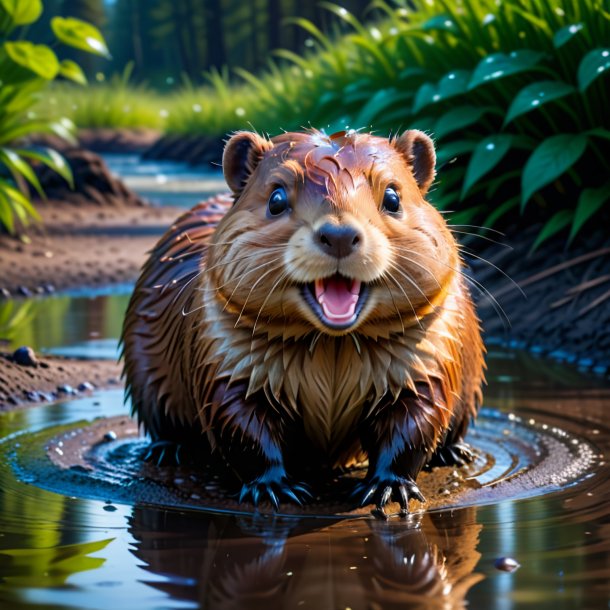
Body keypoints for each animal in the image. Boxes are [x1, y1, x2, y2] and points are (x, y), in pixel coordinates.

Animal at [121, 128, 484, 512]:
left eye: (393, 196)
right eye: (276, 198)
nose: (339, 235)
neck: (332, 346)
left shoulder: (427, 356)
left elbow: (416, 419)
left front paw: (388, 488)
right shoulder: (225, 355)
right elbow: (240, 424)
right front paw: (274, 488)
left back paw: (456, 452)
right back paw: (168, 450)